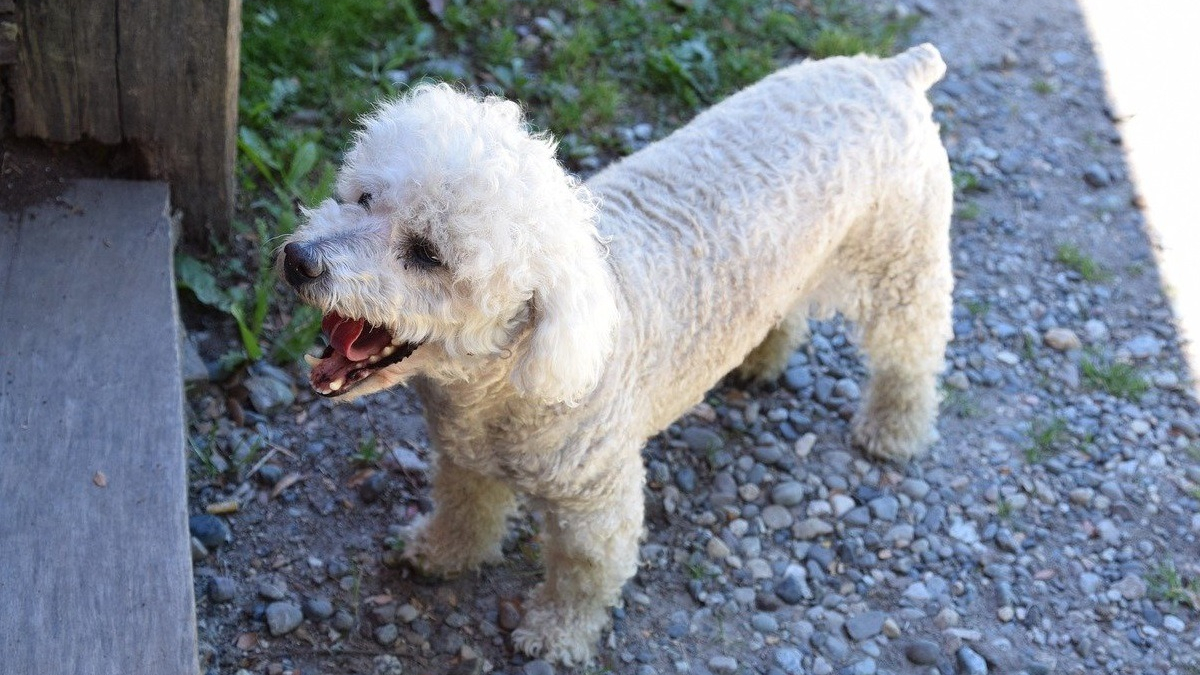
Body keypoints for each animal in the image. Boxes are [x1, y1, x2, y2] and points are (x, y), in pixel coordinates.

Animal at [280, 43, 955, 662]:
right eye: (364, 198)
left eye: (427, 253)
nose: (297, 260)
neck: (508, 383)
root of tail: (893, 67)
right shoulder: (463, 456)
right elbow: (463, 509)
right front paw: (441, 553)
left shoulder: (595, 498)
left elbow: (584, 571)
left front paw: (555, 635)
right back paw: (760, 361)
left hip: (903, 261)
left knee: (911, 350)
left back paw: (893, 428)